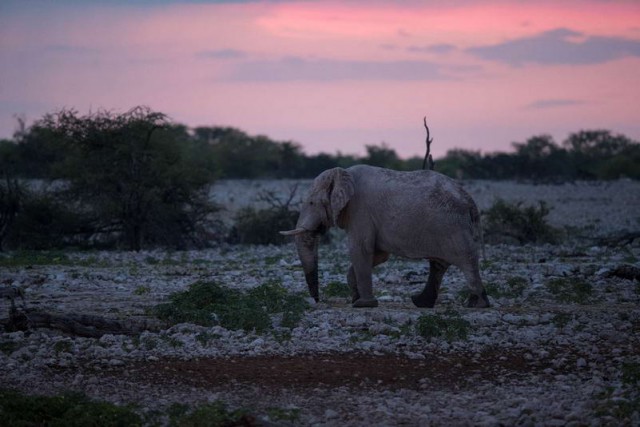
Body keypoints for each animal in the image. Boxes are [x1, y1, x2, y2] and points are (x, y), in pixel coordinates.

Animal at [282, 166, 490, 310]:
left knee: (466, 260)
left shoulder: (360, 210)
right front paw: (356, 298)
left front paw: (363, 304)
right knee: (439, 264)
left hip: (453, 227)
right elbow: (378, 255)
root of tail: (470, 202)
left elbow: (361, 250)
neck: (343, 173)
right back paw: (421, 302)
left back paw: (476, 304)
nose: (316, 301)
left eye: (311, 203)